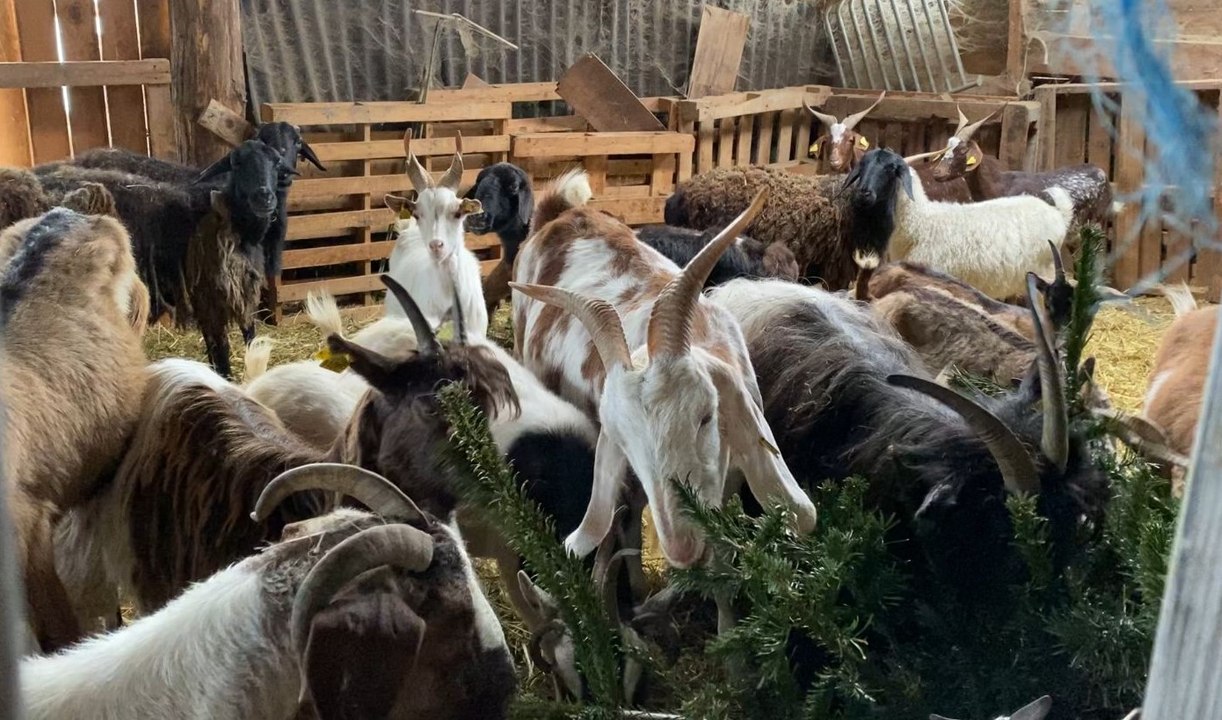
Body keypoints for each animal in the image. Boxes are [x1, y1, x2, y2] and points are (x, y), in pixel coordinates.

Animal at [853, 148, 1074, 300]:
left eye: (890, 169)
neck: (921, 222)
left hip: (1045, 272)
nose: (863, 193)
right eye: (862, 166)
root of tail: (1058, 214)